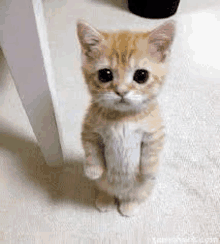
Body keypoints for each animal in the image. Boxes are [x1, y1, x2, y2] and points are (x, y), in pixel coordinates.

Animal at [76, 20, 174, 216]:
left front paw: (149, 171)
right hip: (103, 185)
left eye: (141, 75)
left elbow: (151, 153)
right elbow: (91, 150)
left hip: (142, 189)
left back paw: (129, 205)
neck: (123, 117)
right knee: (105, 189)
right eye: (105, 74)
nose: (121, 91)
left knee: (135, 195)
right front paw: (93, 169)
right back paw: (105, 200)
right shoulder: (90, 129)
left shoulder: (154, 133)